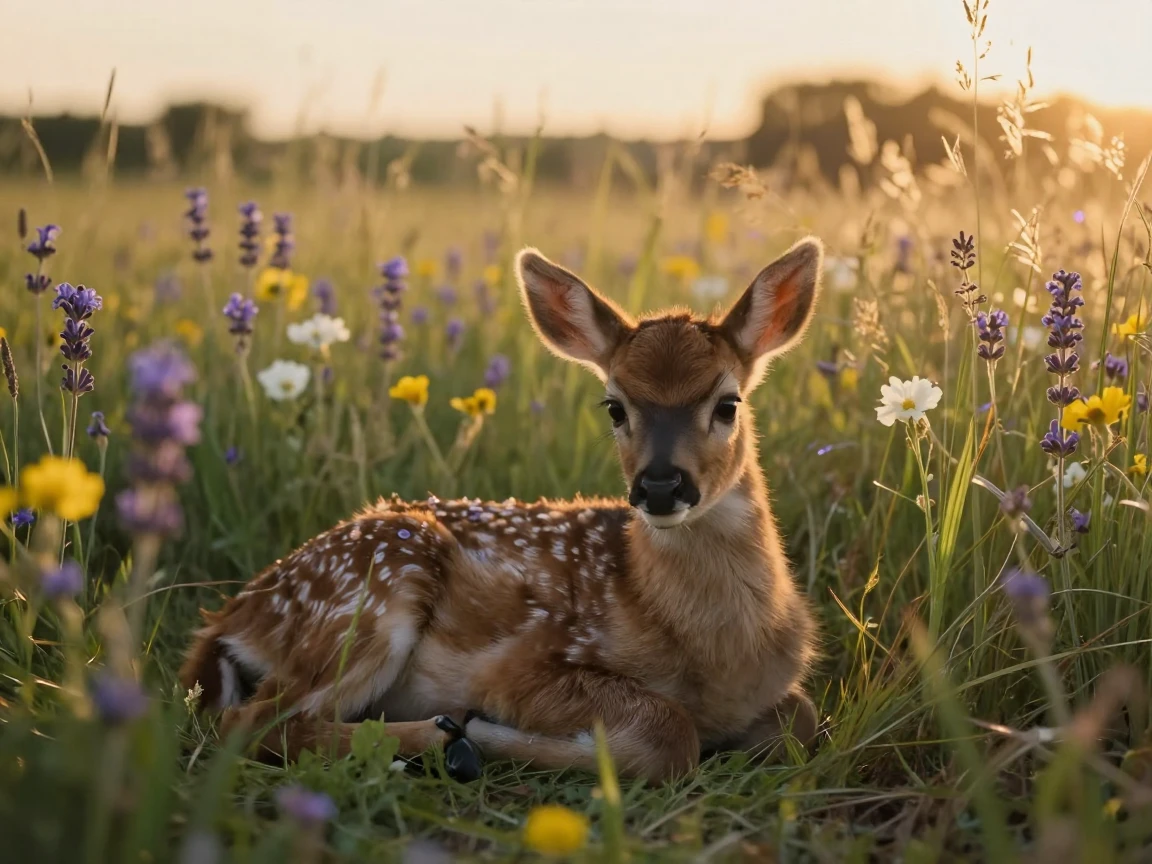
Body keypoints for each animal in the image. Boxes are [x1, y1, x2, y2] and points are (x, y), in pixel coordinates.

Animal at [180, 237, 823, 783]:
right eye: (614, 407)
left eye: (728, 403)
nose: (661, 486)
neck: (717, 653)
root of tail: (231, 616)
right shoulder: (527, 665)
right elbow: (671, 733)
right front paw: (488, 733)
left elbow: (803, 722)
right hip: (369, 597)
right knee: (248, 724)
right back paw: (444, 740)